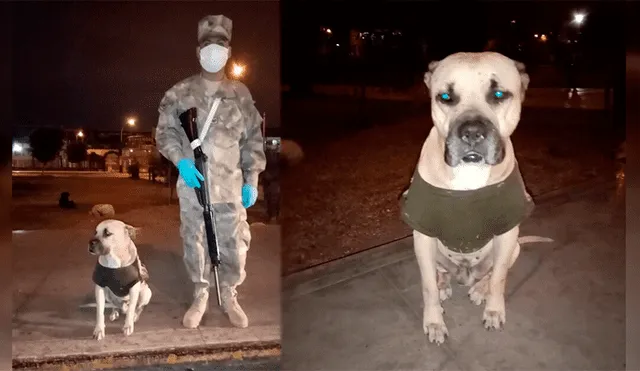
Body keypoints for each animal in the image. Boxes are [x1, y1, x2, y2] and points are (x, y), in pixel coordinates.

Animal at [402, 52, 552, 346]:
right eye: (445, 97)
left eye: (498, 94)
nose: (471, 132)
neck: (469, 172)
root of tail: (465, 276)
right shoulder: (422, 235)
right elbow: (427, 287)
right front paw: (434, 322)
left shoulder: (507, 231)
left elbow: (499, 279)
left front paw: (493, 309)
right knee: (439, 273)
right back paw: (444, 283)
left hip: (514, 247)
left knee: (492, 273)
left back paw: (480, 288)